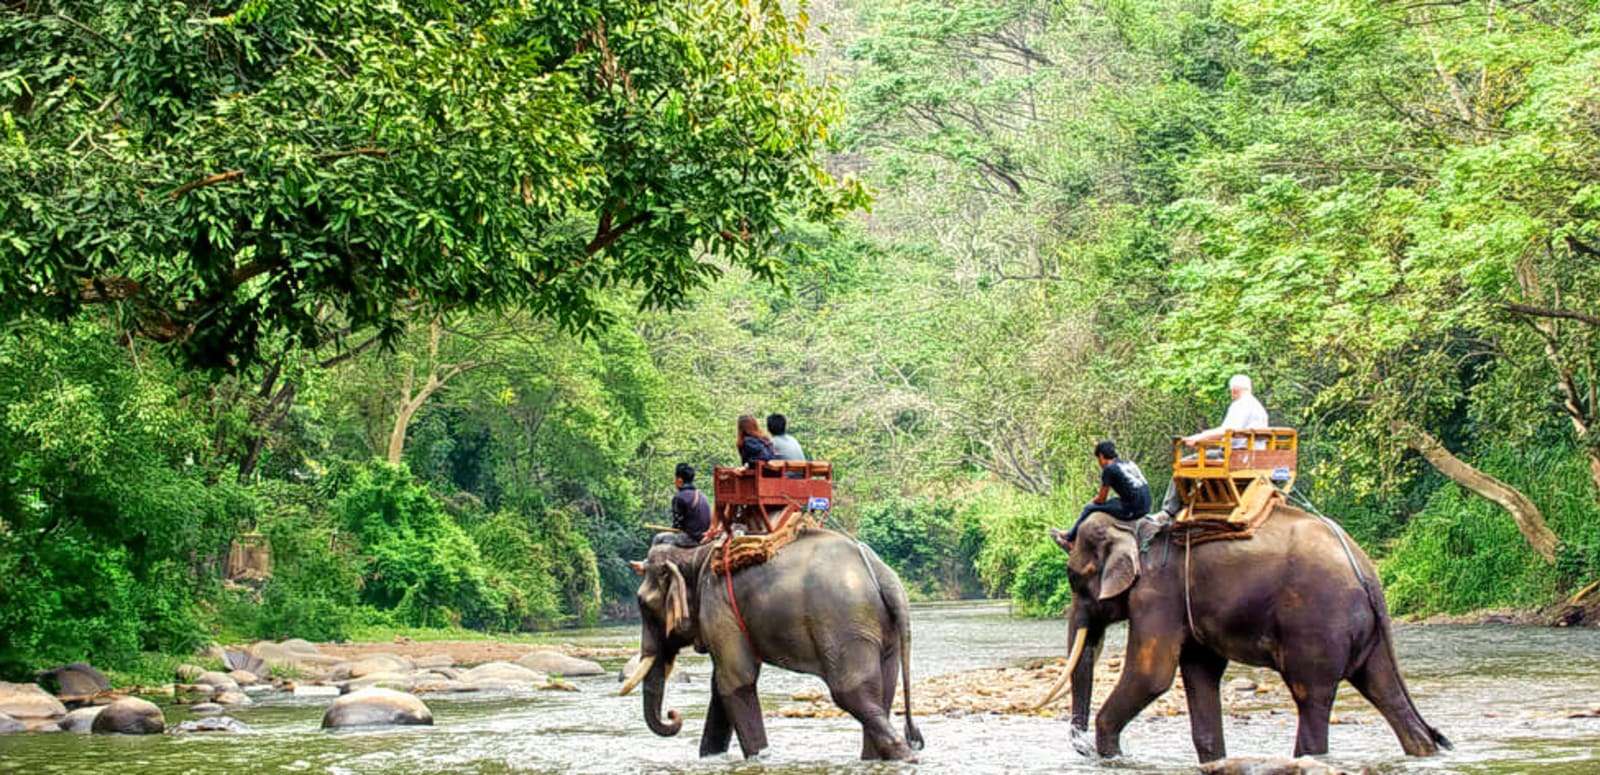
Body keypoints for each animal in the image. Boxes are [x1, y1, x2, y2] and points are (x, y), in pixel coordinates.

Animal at [622, 528, 924, 761]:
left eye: (644, 605)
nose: (673, 715)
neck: (698, 553)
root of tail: (883, 574)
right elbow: (721, 686)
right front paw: (710, 758)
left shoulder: (718, 607)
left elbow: (736, 680)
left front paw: (759, 758)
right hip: (881, 630)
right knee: (882, 691)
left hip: (846, 624)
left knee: (851, 693)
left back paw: (906, 756)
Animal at [1042, 508, 1450, 763]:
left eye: (1075, 579)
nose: (1083, 748)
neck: (1131, 526)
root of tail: (1367, 572)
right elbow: (1200, 672)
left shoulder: (1157, 595)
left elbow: (1151, 676)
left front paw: (1113, 756)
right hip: (1369, 635)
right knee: (1385, 691)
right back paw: (1423, 750)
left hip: (1318, 625)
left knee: (1311, 697)